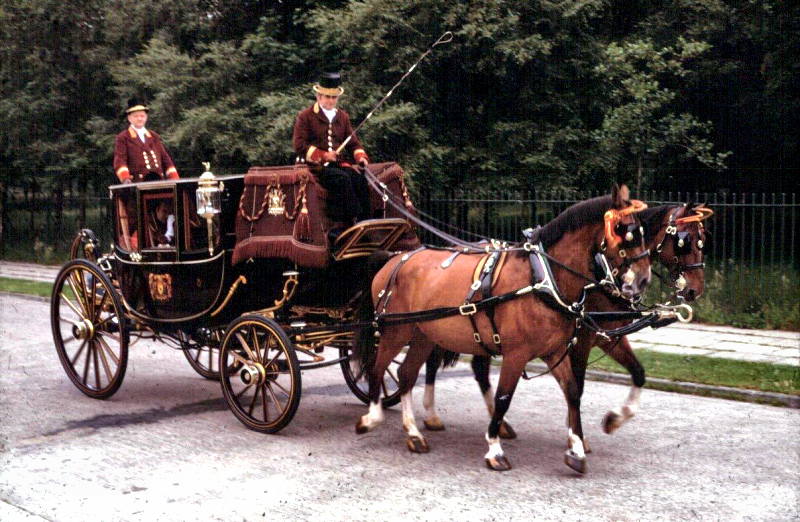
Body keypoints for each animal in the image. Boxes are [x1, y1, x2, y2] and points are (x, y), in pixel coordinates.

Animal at [354, 184, 652, 472]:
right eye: (625, 233)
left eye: (642, 233)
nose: (643, 280)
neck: (542, 278)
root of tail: (395, 259)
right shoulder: (516, 353)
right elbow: (503, 397)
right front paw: (495, 449)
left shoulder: (555, 351)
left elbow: (573, 392)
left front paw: (577, 448)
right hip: (397, 331)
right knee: (377, 368)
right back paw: (372, 416)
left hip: (423, 334)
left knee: (405, 374)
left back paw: (413, 433)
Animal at [422, 201, 708, 452]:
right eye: (686, 242)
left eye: (702, 240)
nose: (695, 289)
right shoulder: (583, 338)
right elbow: (577, 385)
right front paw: (576, 437)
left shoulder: (606, 336)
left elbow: (637, 373)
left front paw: (613, 420)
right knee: (434, 361)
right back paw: (433, 415)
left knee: (477, 368)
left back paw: (498, 426)